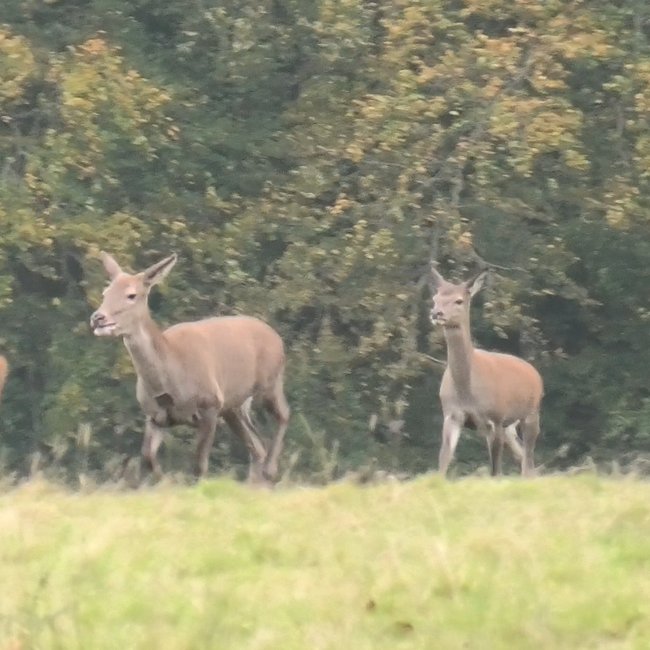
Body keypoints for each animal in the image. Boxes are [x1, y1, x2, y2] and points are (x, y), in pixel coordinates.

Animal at [90, 252, 290, 484]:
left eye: (131, 295)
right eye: (105, 293)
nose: (98, 318)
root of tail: (277, 337)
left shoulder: (210, 403)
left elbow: (199, 465)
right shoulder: (155, 416)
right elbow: (148, 457)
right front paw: (164, 481)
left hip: (270, 380)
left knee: (283, 415)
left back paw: (270, 470)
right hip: (235, 405)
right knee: (257, 445)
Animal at [429, 265, 543, 477]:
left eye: (459, 300)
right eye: (435, 298)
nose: (435, 313)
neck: (468, 391)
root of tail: (535, 373)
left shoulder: (495, 418)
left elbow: (495, 470)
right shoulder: (451, 414)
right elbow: (443, 462)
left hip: (531, 413)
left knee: (528, 459)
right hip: (510, 426)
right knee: (523, 456)